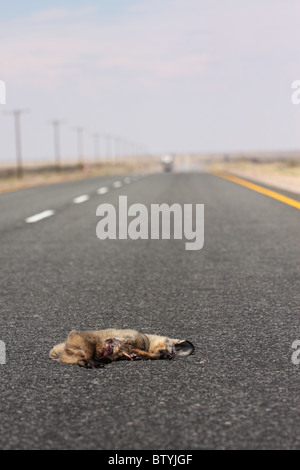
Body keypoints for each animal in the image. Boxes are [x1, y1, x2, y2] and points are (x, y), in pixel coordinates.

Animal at [49, 328, 195, 370]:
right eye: (170, 348)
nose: (169, 354)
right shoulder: (136, 338)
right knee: (84, 359)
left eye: (172, 353)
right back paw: (92, 363)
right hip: (83, 341)